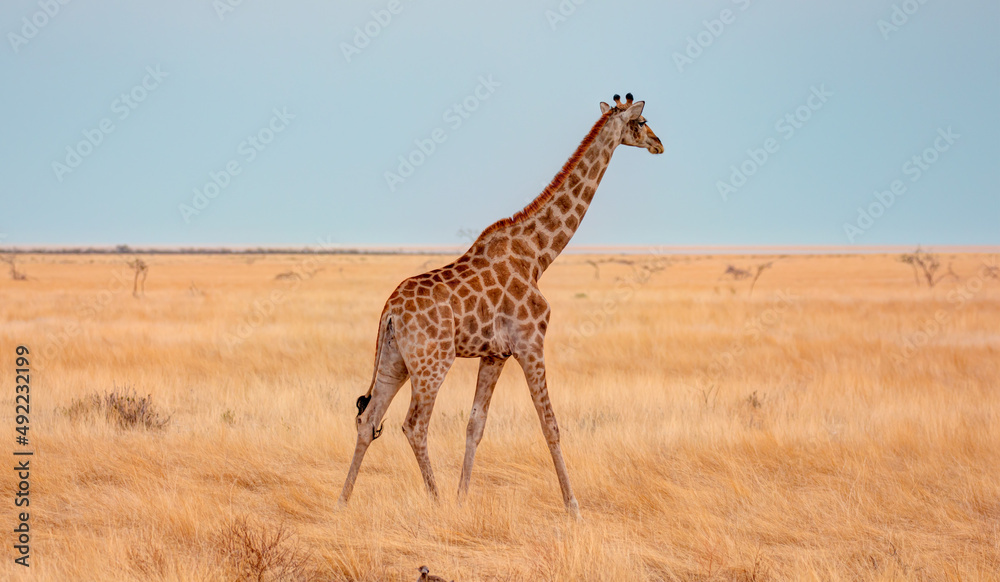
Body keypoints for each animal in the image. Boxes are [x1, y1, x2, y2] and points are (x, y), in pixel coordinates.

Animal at [339, 93, 663, 516]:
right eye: (640, 121)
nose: (659, 143)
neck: (539, 254)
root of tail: (390, 312)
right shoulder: (530, 343)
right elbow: (550, 424)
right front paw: (574, 507)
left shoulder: (494, 354)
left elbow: (475, 425)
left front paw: (463, 498)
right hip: (432, 362)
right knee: (414, 424)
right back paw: (435, 501)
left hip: (395, 360)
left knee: (368, 418)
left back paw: (342, 501)